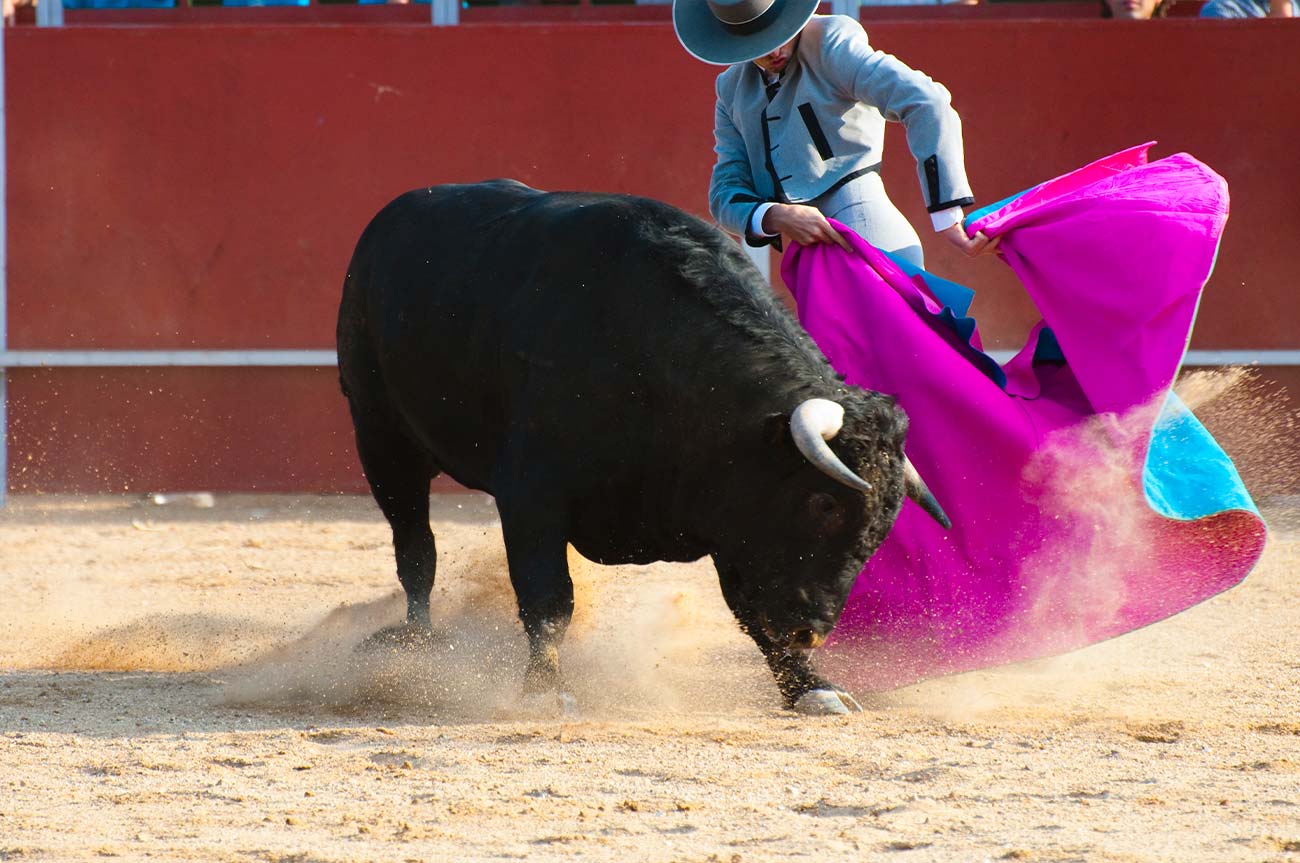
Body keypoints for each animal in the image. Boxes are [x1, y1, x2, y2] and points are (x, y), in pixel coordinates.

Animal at [335, 181, 946, 712]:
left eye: (885, 525)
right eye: (822, 502)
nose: (809, 631)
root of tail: (392, 217)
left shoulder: (735, 521)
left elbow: (750, 609)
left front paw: (812, 688)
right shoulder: (531, 495)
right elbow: (548, 599)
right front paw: (543, 691)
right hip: (380, 437)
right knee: (416, 548)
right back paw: (415, 648)